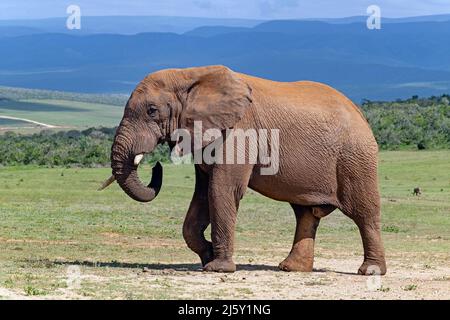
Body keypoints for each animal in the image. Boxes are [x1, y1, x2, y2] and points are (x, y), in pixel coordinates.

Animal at [101, 64, 386, 276]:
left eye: (151, 111)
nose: (156, 165)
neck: (189, 74)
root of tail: (360, 113)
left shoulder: (240, 130)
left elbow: (221, 189)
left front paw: (217, 268)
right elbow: (202, 194)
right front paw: (207, 256)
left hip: (355, 157)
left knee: (364, 212)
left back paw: (370, 271)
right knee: (305, 213)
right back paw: (290, 269)